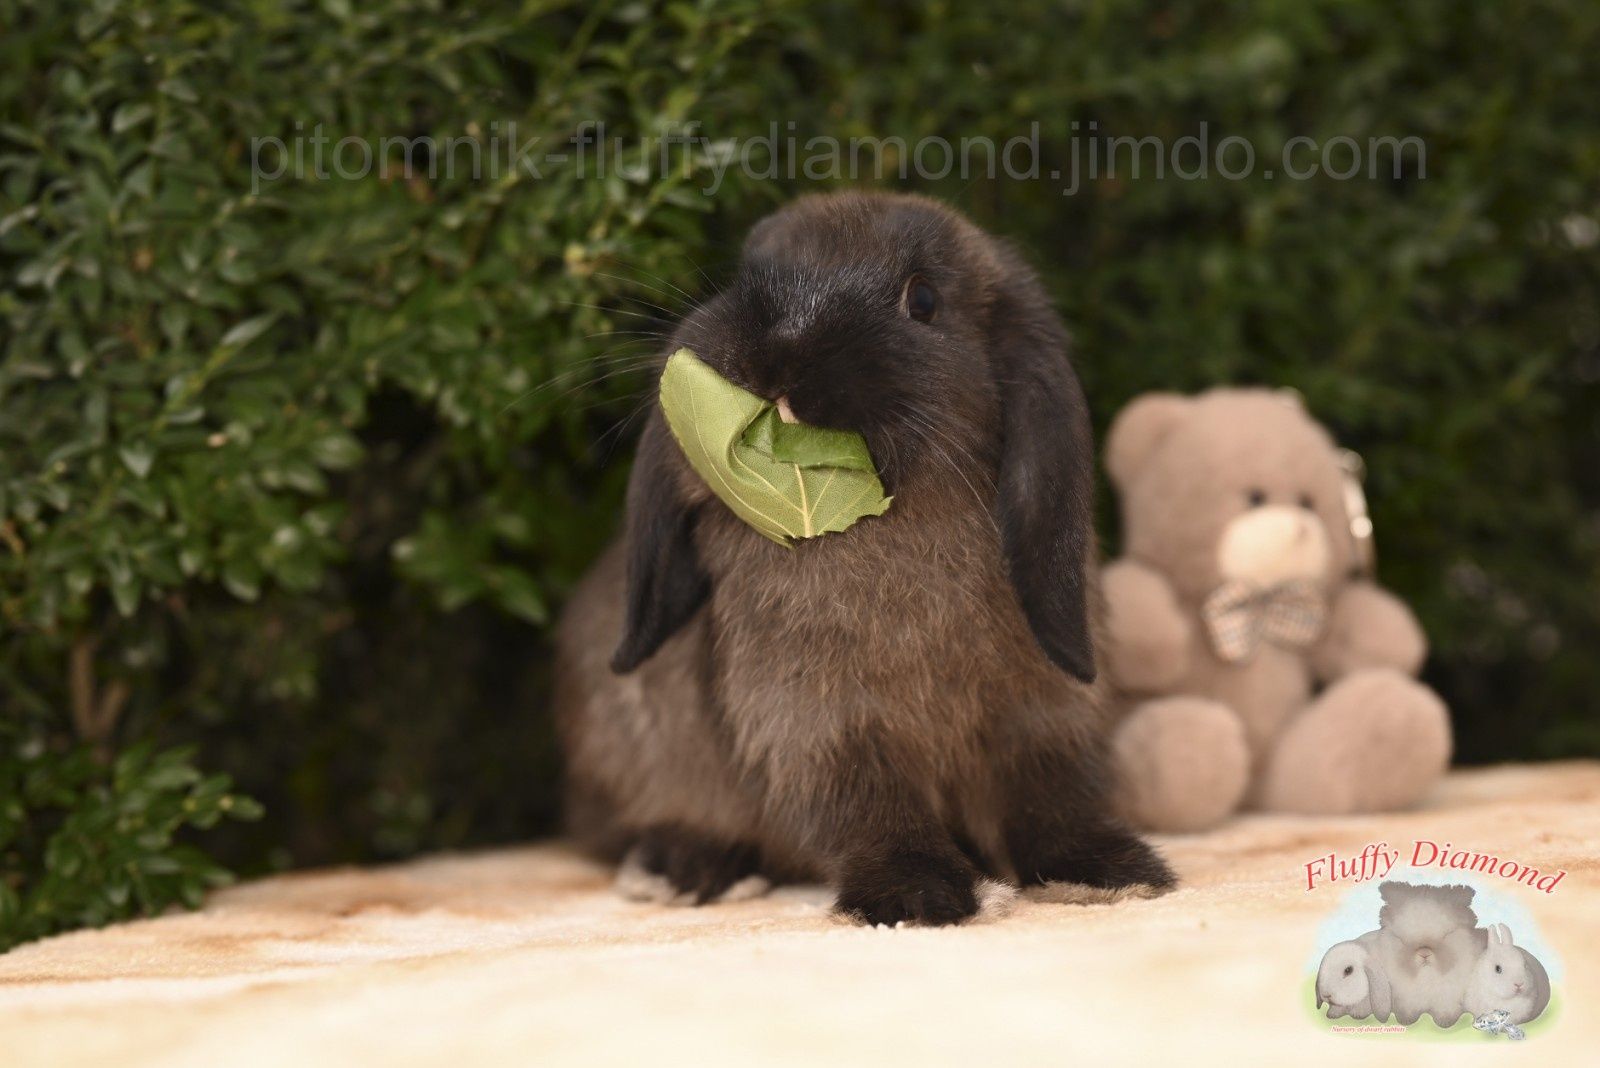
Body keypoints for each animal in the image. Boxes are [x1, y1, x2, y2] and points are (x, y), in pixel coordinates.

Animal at [556, 191, 1171, 927]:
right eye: (748, 274)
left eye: (923, 300)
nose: (780, 353)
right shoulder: (818, 722)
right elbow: (866, 806)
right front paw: (916, 896)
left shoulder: (1037, 710)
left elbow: (1048, 795)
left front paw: (1111, 871)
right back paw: (683, 866)